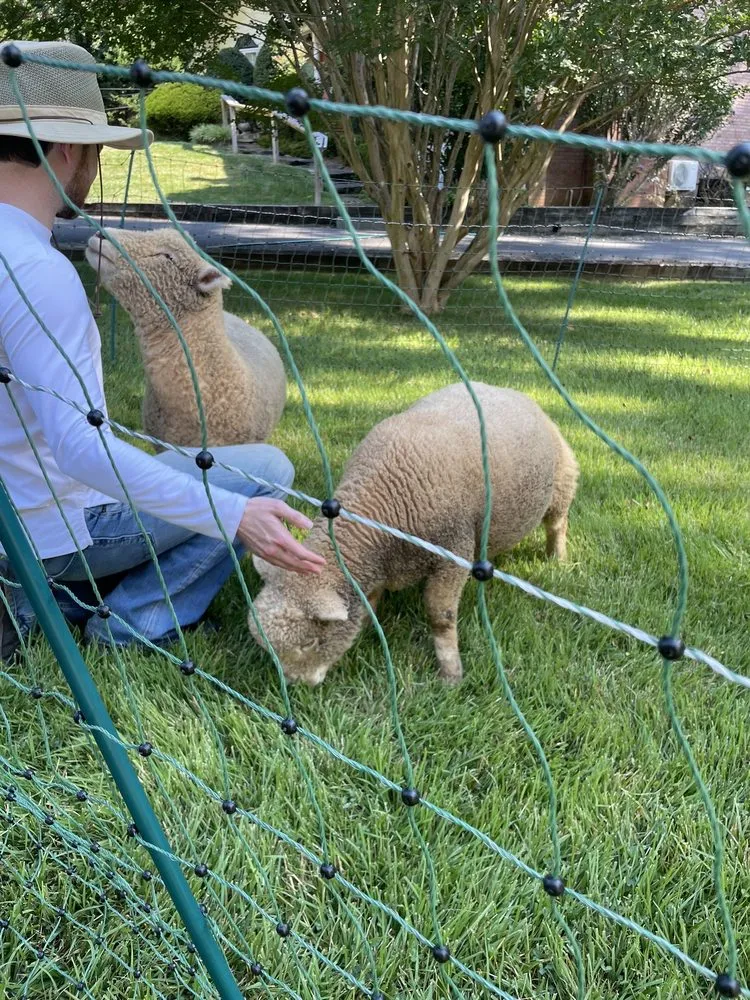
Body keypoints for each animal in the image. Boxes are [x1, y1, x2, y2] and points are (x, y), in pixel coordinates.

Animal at [249, 382, 579, 686]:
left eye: (310, 642)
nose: (297, 686)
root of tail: (508, 389)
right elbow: (370, 602)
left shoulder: (453, 553)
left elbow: (440, 616)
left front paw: (450, 675)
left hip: (562, 481)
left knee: (557, 524)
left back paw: (558, 559)